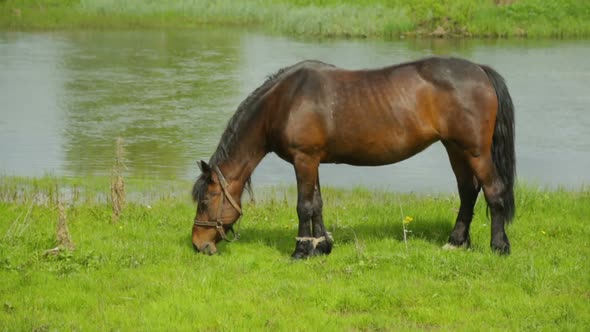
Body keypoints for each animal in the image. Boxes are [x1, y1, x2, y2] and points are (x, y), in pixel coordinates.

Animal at [192, 57, 516, 258]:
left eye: (205, 201)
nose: (197, 244)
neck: (284, 101)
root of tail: (480, 70)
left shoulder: (303, 159)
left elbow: (303, 206)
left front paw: (300, 251)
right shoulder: (312, 160)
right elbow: (317, 204)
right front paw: (321, 246)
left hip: (475, 151)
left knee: (493, 191)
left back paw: (499, 246)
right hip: (455, 148)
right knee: (468, 191)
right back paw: (456, 242)